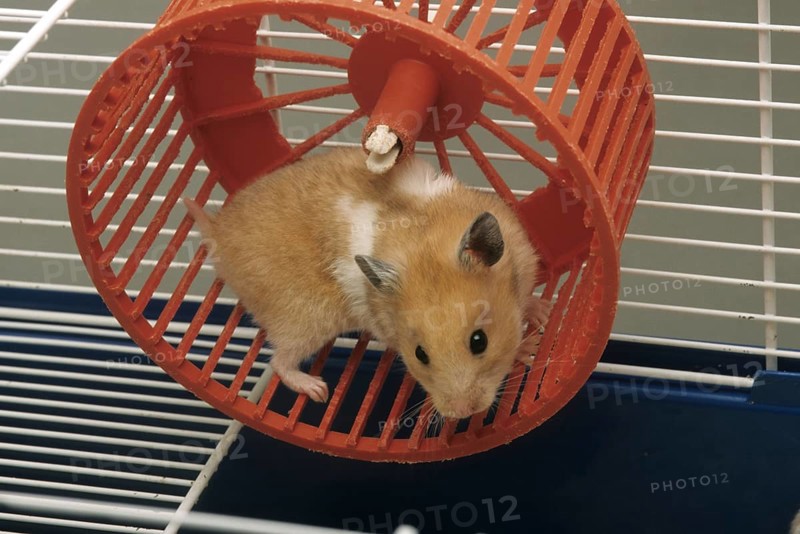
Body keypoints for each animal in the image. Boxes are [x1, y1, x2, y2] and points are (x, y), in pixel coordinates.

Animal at [184, 148, 549, 419]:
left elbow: (527, 300)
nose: (461, 413)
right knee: (280, 361)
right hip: (304, 320)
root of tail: (218, 236)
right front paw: (530, 348)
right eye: (420, 354)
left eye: (479, 341)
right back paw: (317, 390)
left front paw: (541, 313)